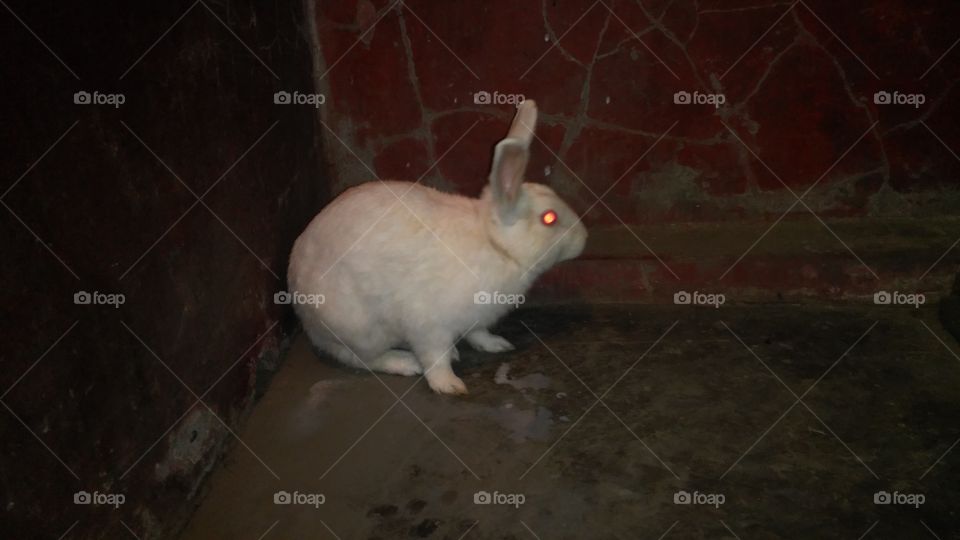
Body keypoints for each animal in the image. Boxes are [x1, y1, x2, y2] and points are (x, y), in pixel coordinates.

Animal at [287, 100, 587, 394]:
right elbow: (435, 357)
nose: (584, 239)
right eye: (549, 218)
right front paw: (449, 385)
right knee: (357, 357)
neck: (495, 244)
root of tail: (303, 313)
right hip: (360, 328)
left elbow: (477, 333)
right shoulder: (430, 326)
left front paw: (496, 344)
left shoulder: (474, 318)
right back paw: (404, 362)